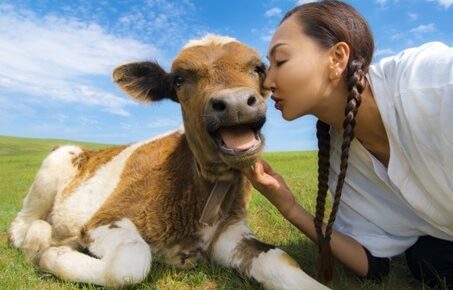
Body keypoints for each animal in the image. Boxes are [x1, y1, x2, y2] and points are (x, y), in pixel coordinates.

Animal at [7, 35, 328, 288]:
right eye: (179, 79)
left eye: (258, 68)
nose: (235, 103)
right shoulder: (104, 218)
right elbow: (130, 262)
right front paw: (52, 254)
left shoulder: (228, 234)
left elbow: (280, 260)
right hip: (56, 161)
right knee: (21, 225)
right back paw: (40, 238)